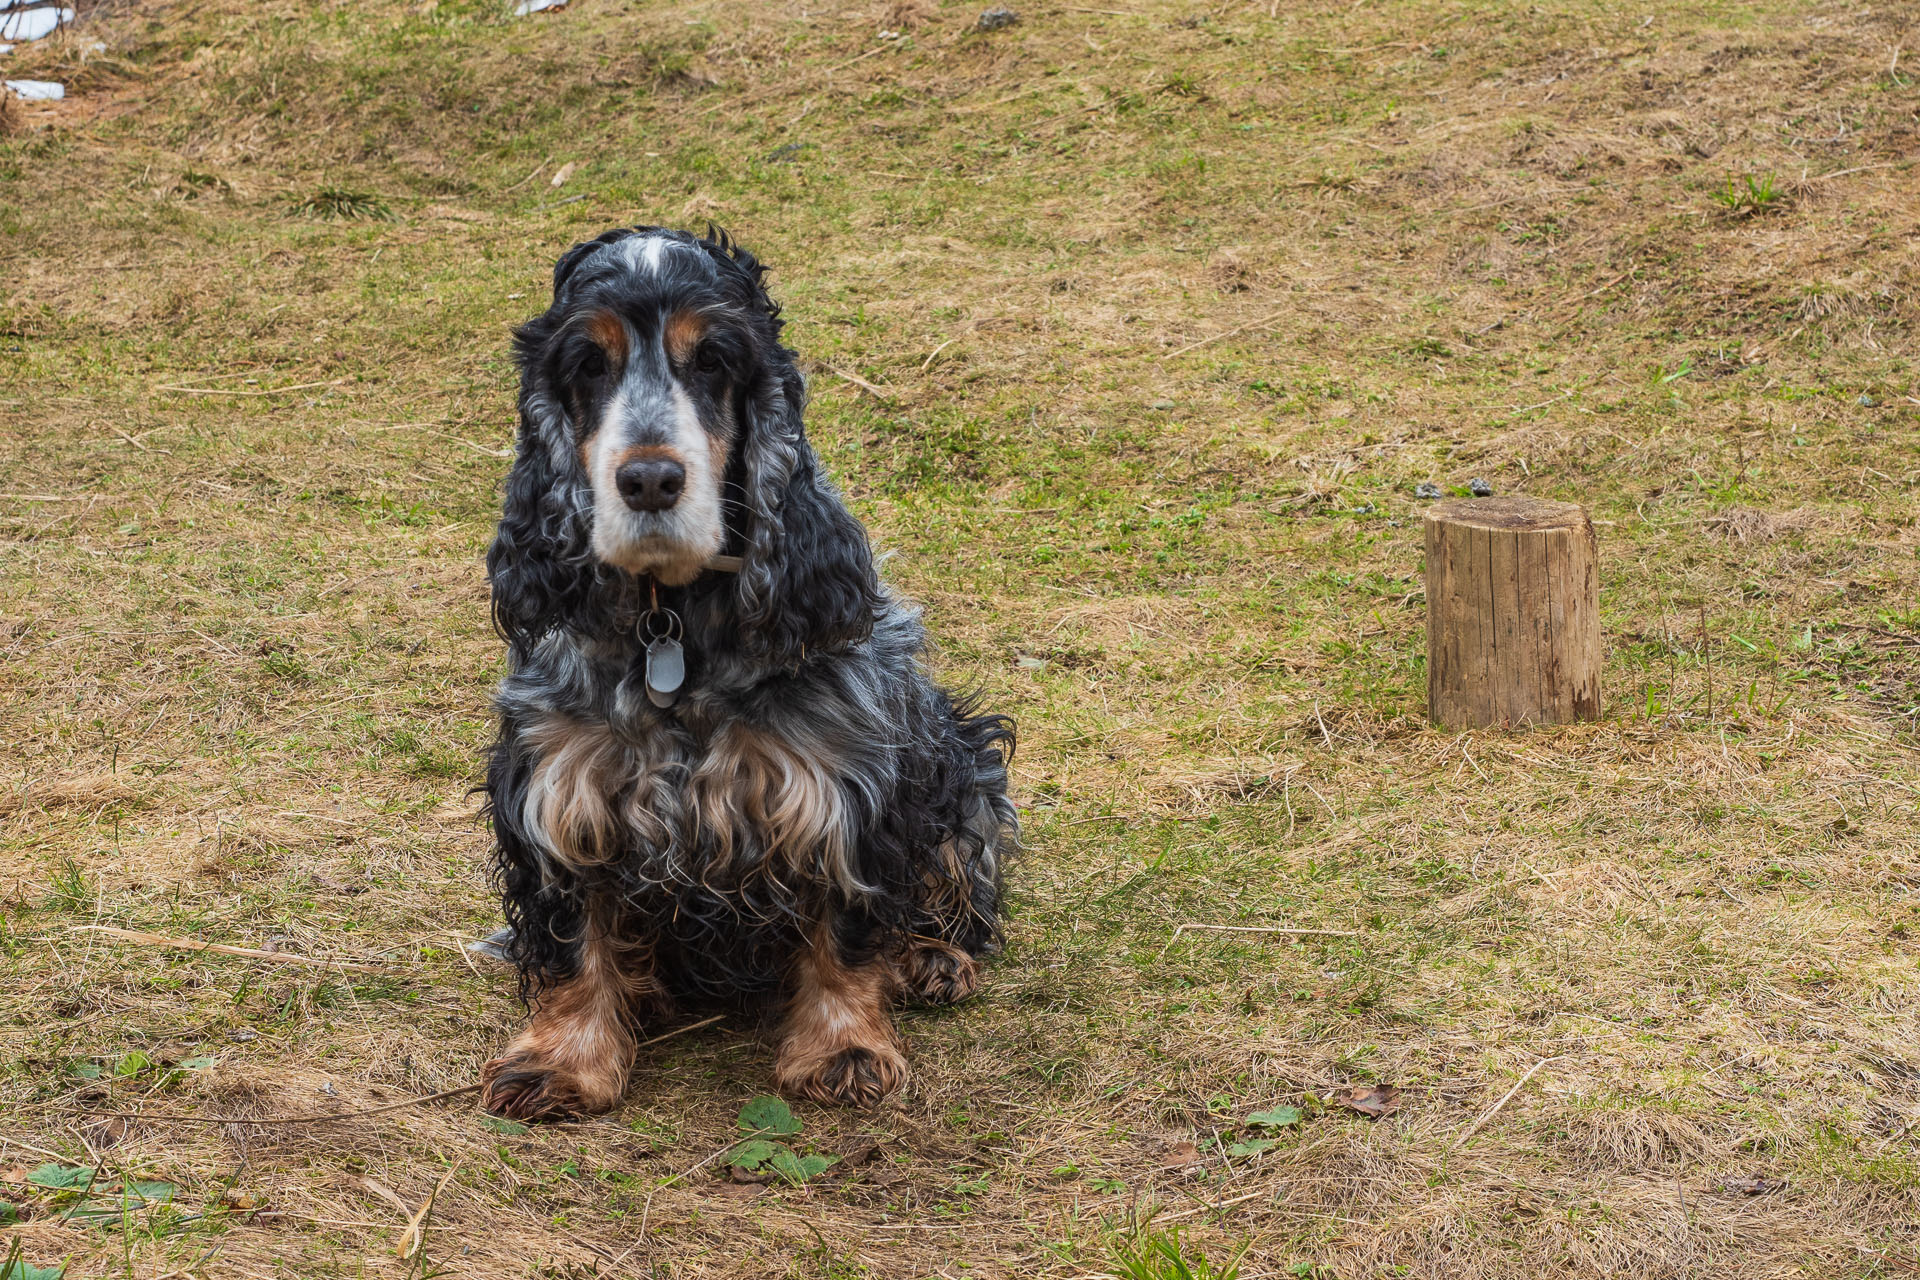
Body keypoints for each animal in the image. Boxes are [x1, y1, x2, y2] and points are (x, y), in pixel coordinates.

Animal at [476, 230, 1021, 1120]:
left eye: (714, 360)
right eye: (589, 364)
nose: (650, 480)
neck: (673, 628)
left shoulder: (849, 789)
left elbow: (848, 929)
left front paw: (844, 1049)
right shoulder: (554, 786)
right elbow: (569, 942)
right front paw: (559, 1060)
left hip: (963, 763)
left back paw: (931, 958)